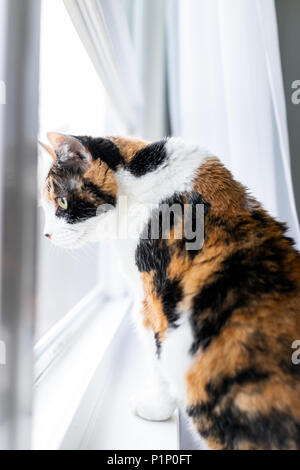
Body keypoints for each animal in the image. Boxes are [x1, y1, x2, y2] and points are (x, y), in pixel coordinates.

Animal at [39, 133, 300, 452]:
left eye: (61, 200)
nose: (46, 234)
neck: (142, 180)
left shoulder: (153, 306)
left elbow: (157, 362)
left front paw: (156, 409)